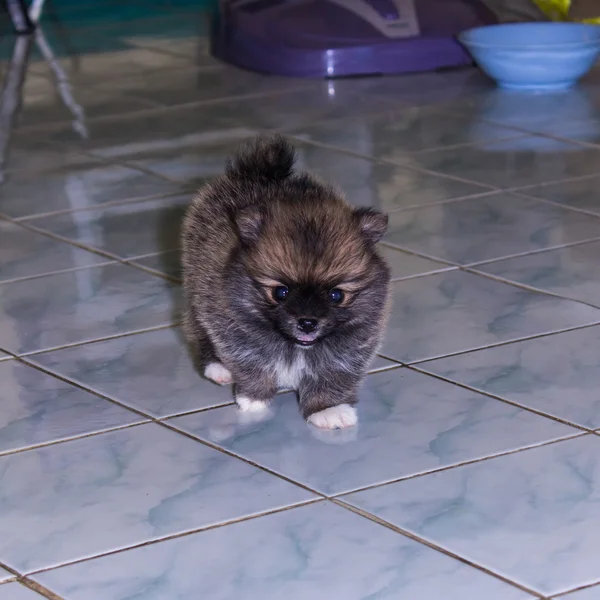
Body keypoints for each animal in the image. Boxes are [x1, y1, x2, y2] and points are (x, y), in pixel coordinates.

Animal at [180, 135, 392, 426]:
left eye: (336, 295)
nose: (307, 323)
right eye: (280, 292)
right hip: (198, 287)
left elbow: (335, 372)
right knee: (199, 327)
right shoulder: (235, 325)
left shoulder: (356, 337)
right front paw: (254, 397)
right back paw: (218, 367)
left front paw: (328, 408)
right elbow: (251, 361)